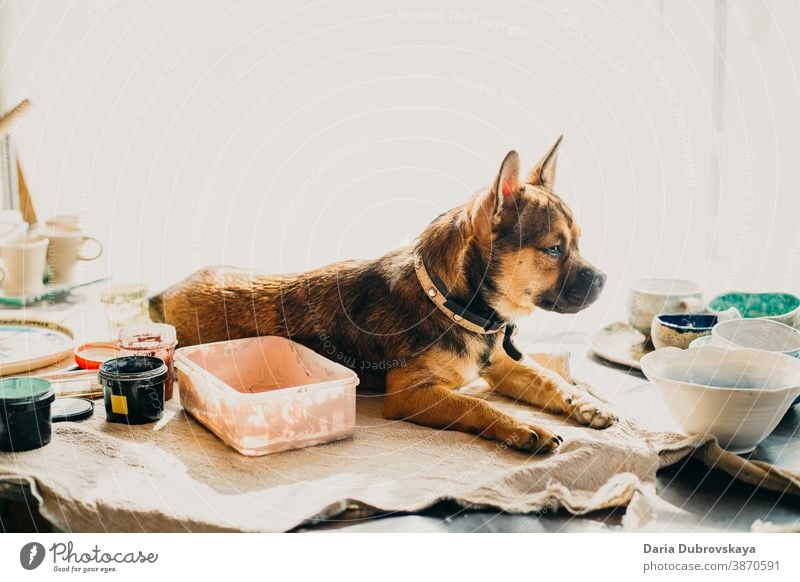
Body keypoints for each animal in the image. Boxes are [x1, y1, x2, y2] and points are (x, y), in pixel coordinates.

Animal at [155, 138, 620, 456]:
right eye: (554, 250)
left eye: (577, 243)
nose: (604, 280)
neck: (453, 303)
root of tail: (167, 291)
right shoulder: (411, 395)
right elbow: (474, 405)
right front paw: (523, 428)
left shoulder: (503, 364)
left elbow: (549, 378)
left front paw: (587, 402)